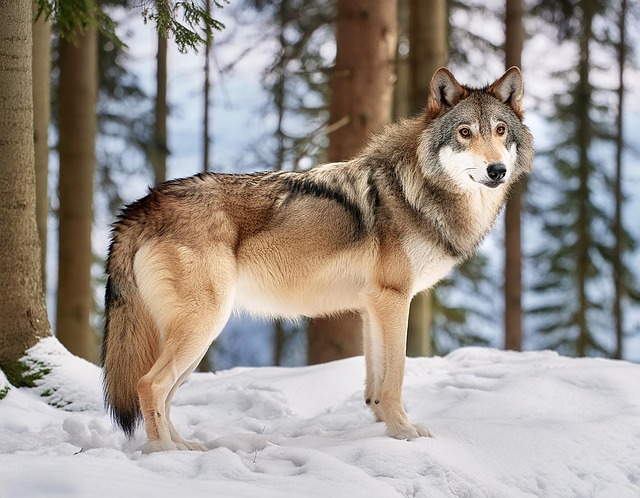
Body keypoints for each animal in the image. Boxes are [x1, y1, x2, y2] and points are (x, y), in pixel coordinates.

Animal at [102, 66, 536, 452]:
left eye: (500, 131)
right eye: (465, 133)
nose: (496, 170)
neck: (415, 191)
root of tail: (143, 204)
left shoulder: (373, 306)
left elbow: (376, 383)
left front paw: (384, 428)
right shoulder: (394, 299)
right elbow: (395, 377)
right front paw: (404, 433)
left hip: (197, 336)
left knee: (164, 393)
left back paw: (187, 448)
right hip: (203, 326)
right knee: (149, 385)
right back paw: (165, 455)